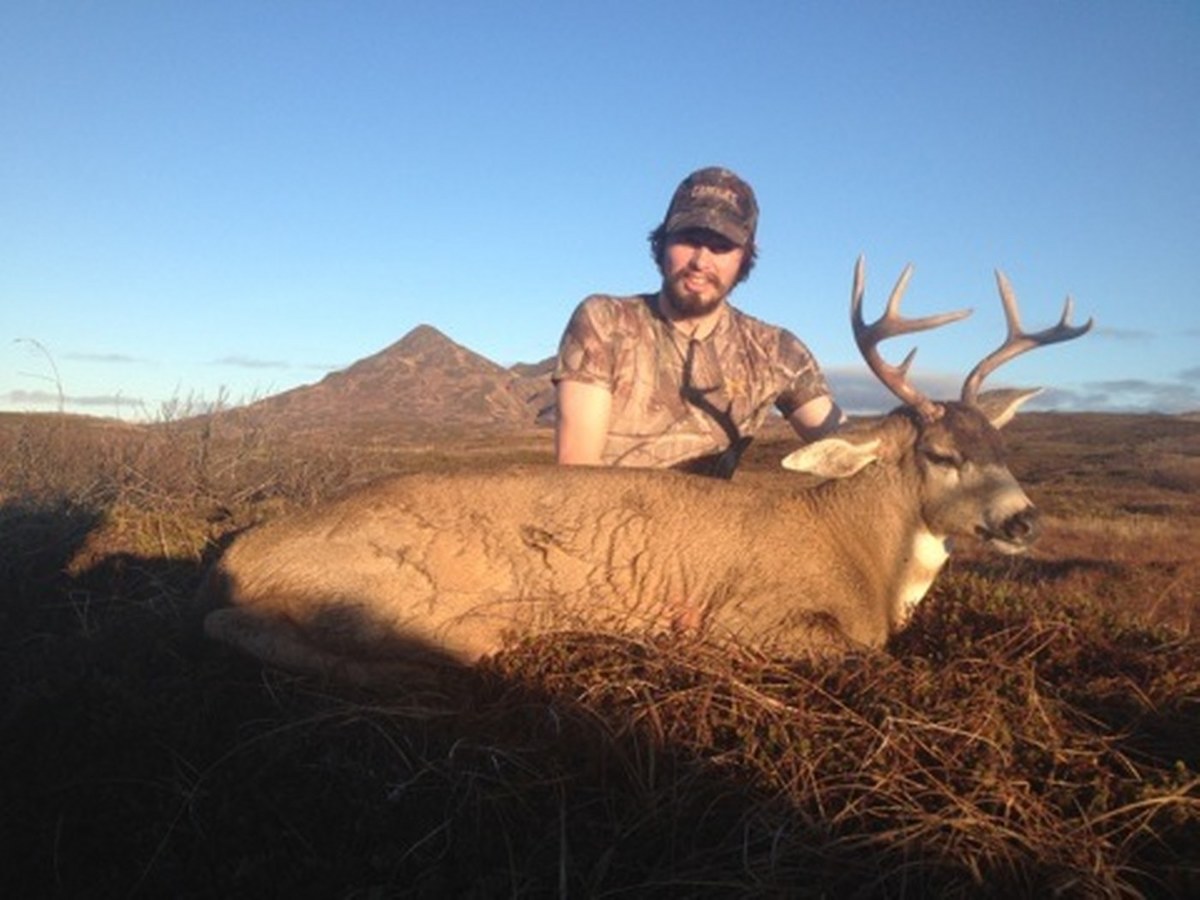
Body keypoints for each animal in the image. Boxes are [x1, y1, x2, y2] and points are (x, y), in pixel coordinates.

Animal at [200, 259, 1092, 685]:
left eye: (1005, 449)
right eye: (940, 454)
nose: (1026, 520)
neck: (864, 559)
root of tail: (239, 556)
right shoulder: (748, 619)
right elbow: (867, 656)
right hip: (394, 596)